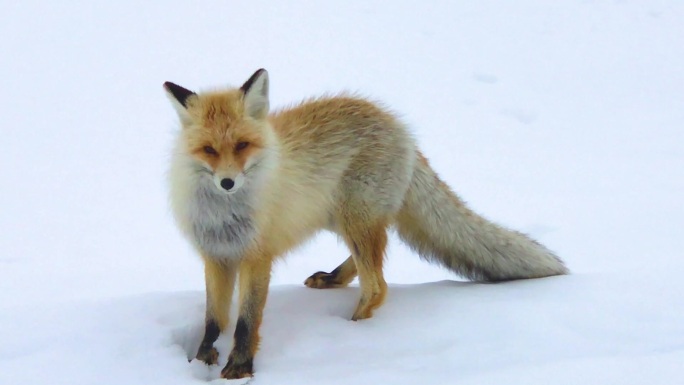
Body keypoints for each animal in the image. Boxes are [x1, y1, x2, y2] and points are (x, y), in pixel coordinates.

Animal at [163, 69, 568, 378]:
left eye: (242, 145)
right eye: (209, 150)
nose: (228, 183)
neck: (225, 215)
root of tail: (400, 128)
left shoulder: (256, 257)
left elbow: (247, 321)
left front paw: (239, 368)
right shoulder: (216, 256)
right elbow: (213, 319)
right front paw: (202, 358)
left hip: (354, 216)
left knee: (378, 285)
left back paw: (354, 335)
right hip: (338, 218)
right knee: (368, 262)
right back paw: (333, 280)